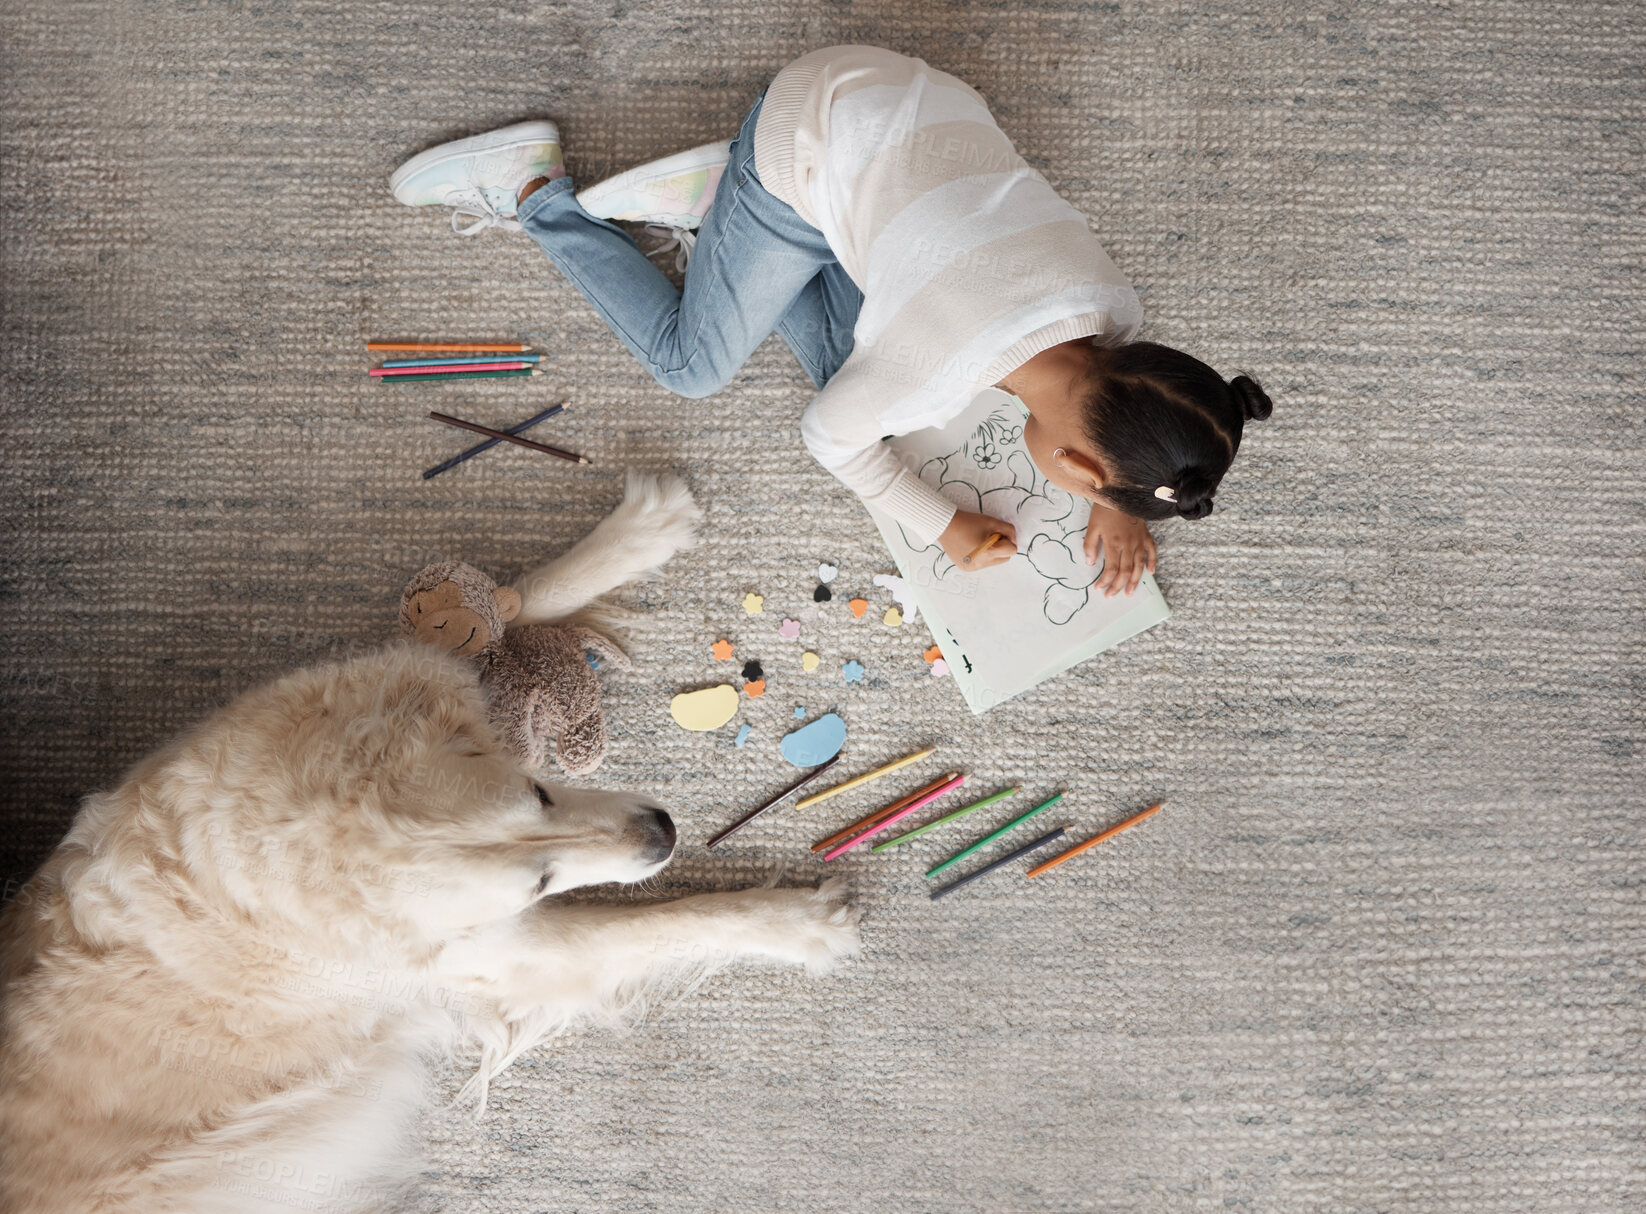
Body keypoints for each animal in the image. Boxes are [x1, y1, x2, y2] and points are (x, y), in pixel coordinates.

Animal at [0, 473, 855, 1210]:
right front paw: (796, 924)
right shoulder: (492, 956)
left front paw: (636, 534)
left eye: (541, 794)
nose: (663, 833)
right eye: (539, 882)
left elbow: (497, 612)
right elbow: (662, 921)